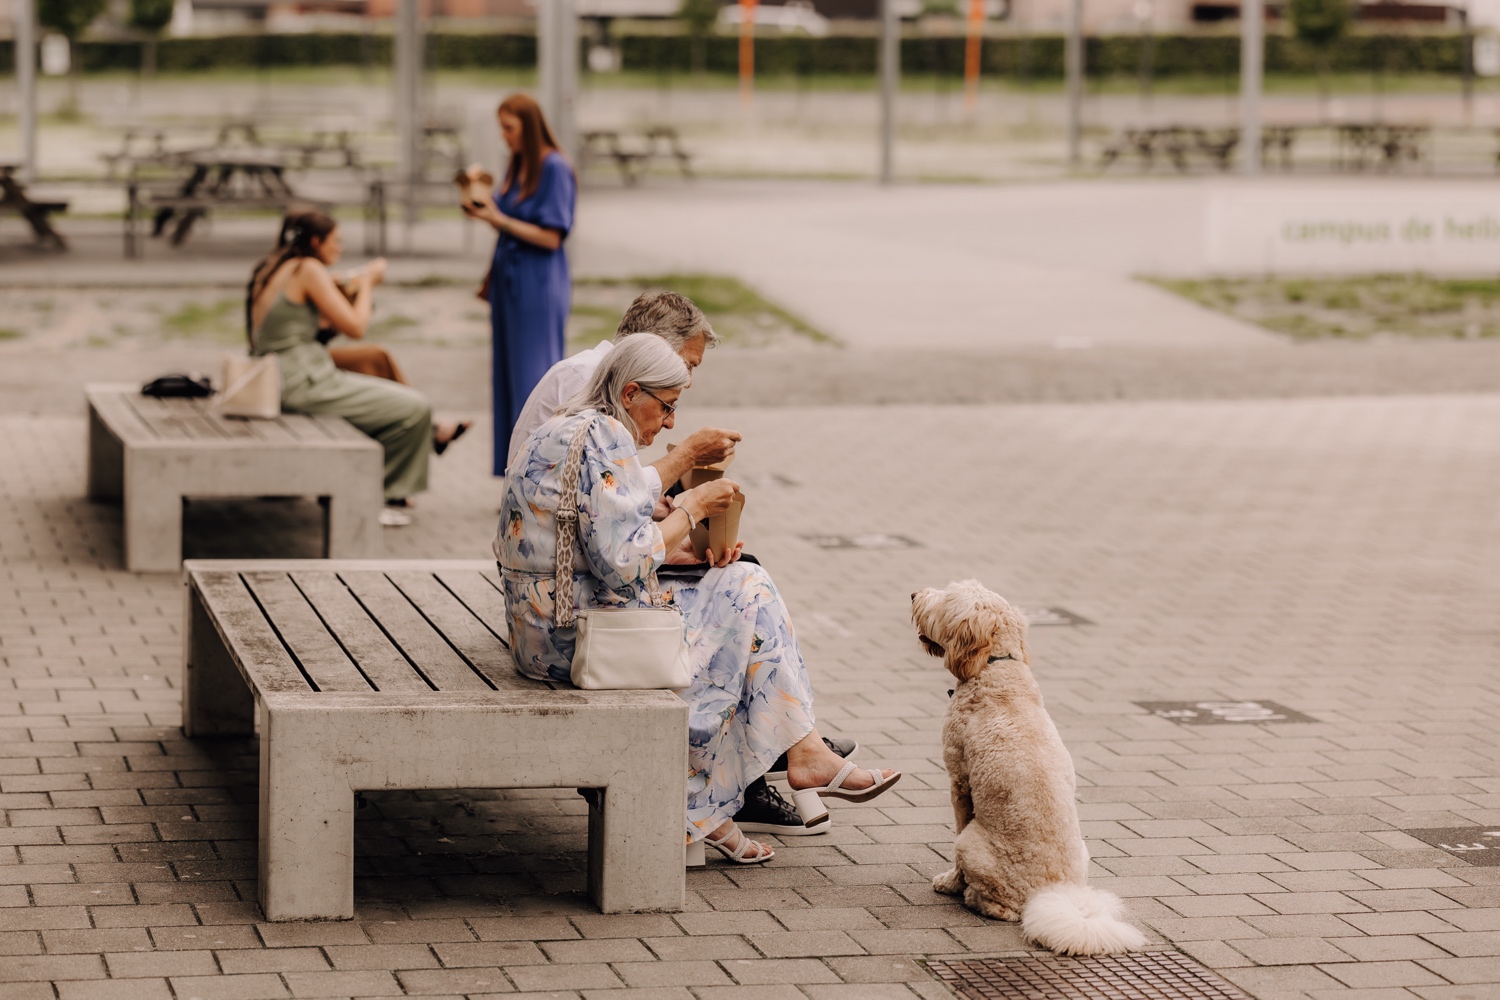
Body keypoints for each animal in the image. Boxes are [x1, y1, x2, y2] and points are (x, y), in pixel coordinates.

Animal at [906, 581, 1140, 959]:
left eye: (946, 598)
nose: (914, 595)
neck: (996, 667)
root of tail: (1050, 895)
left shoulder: (960, 780)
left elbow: (956, 833)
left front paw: (951, 882)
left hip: (973, 844)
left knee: (1004, 908)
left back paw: (973, 897)